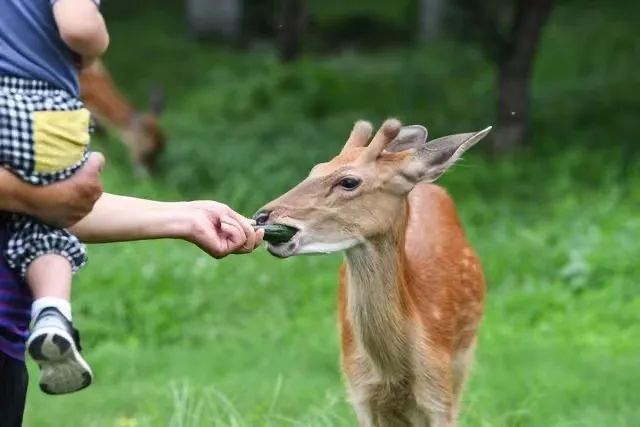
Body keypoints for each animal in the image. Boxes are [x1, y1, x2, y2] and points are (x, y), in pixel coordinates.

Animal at [255, 118, 490, 426]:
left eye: (349, 181)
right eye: (315, 169)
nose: (261, 216)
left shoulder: (440, 394)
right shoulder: (360, 392)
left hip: (463, 361)